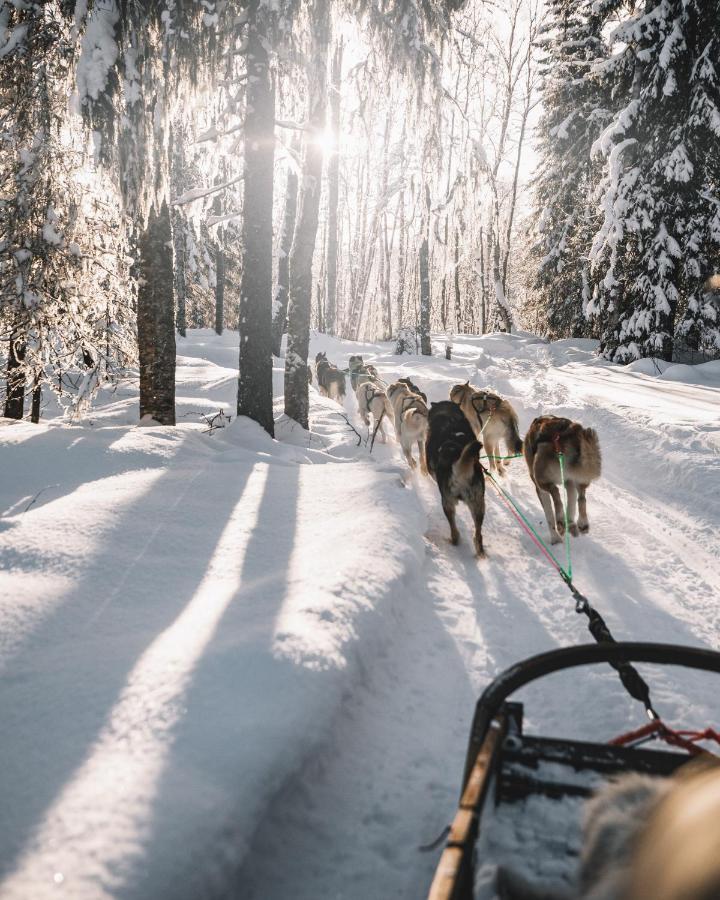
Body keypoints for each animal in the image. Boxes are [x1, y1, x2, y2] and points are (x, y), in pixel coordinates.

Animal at [424, 400, 486, 556]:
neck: (449, 416)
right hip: (478, 504)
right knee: (478, 535)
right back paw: (480, 552)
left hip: (447, 502)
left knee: (455, 531)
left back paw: (453, 541)